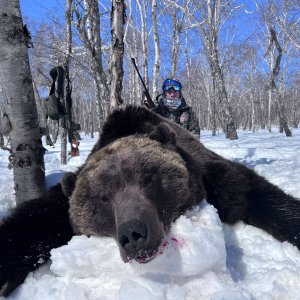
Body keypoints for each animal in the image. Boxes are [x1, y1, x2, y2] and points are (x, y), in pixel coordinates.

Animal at [0, 105, 300, 298]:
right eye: (103, 197)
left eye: (147, 178)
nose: (133, 234)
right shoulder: (61, 202)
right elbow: (32, 224)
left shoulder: (213, 176)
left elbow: (254, 194)